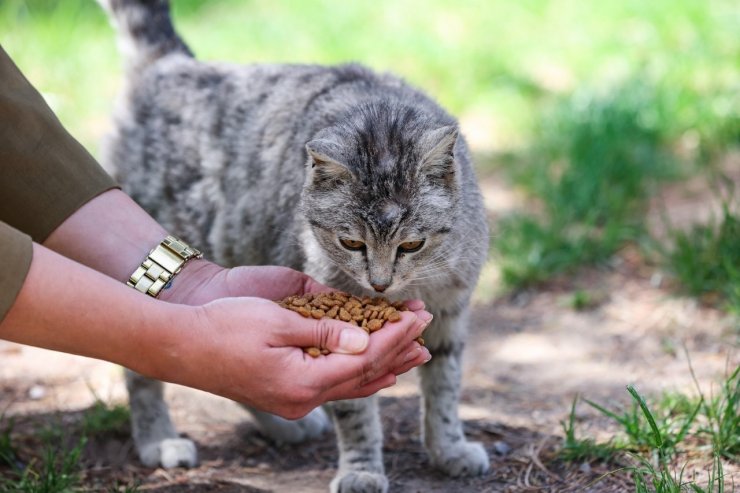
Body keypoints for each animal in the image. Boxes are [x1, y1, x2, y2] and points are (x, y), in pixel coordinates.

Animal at [98, 1, 492, 490]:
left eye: (412, 244)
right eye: (351, 242)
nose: (379, 285)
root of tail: (170, 63)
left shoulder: (452, 311)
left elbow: (445, 388)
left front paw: (449, 448)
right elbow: (356, 414)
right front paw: (362, 469)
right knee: (142, 371)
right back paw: (160, 440)